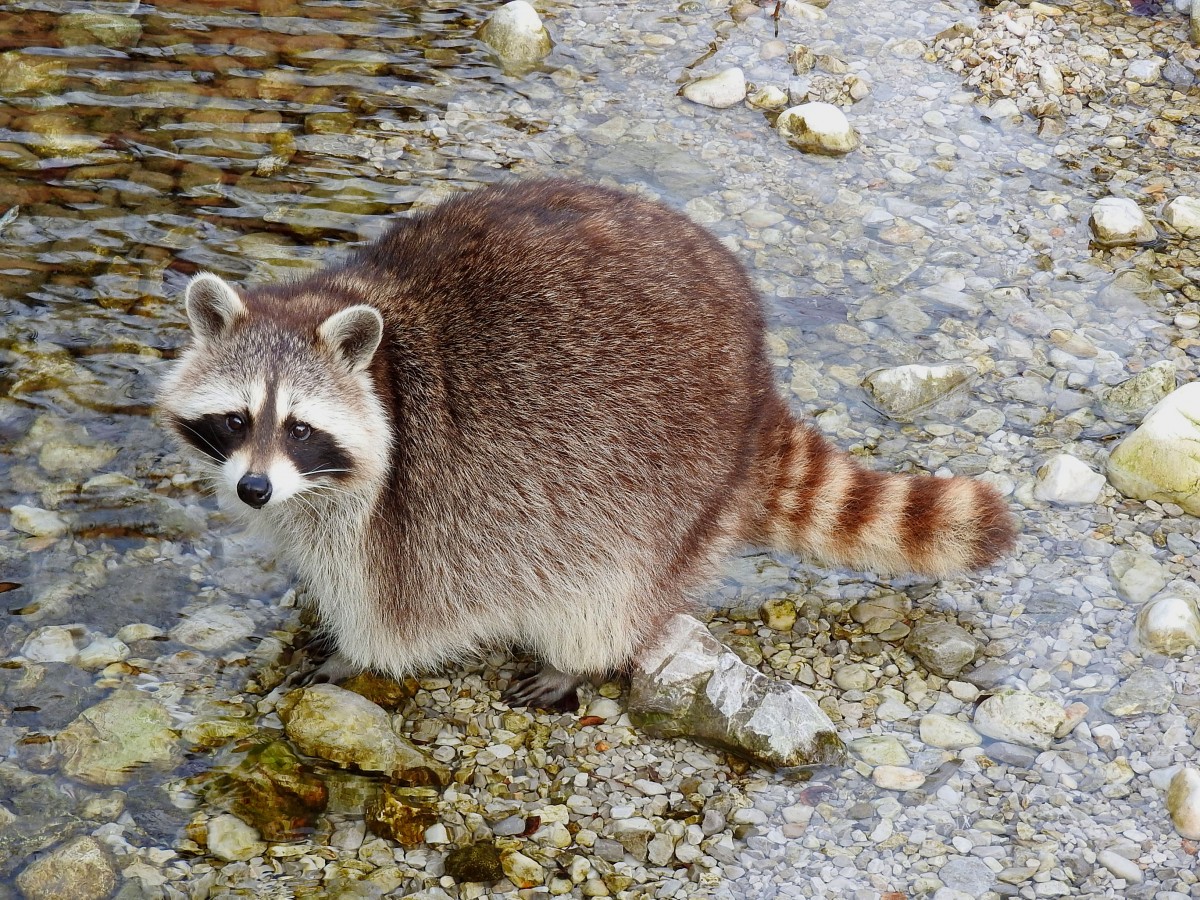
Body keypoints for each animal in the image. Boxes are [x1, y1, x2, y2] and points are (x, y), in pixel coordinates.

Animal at [159, 180, 1017, 710]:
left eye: (300, 428)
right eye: (237, 418)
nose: (253, 490)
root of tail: (755, 384)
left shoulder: (400, 513)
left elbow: (386, 609)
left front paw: (350, 652)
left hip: (667, 477)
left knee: (606, 590)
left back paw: (575, 658)